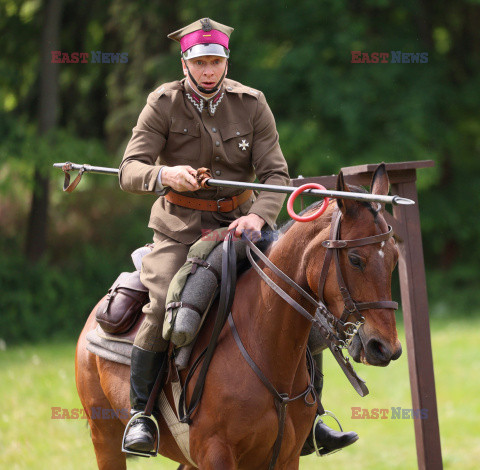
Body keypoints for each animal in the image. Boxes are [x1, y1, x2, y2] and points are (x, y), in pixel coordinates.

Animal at [75, 164, 404, 466]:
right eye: (355, 259)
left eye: (394, 259)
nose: (385, 348)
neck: (264, 347)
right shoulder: (217, 456)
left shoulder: (286, 458)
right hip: (103, 436)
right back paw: (140, 428)